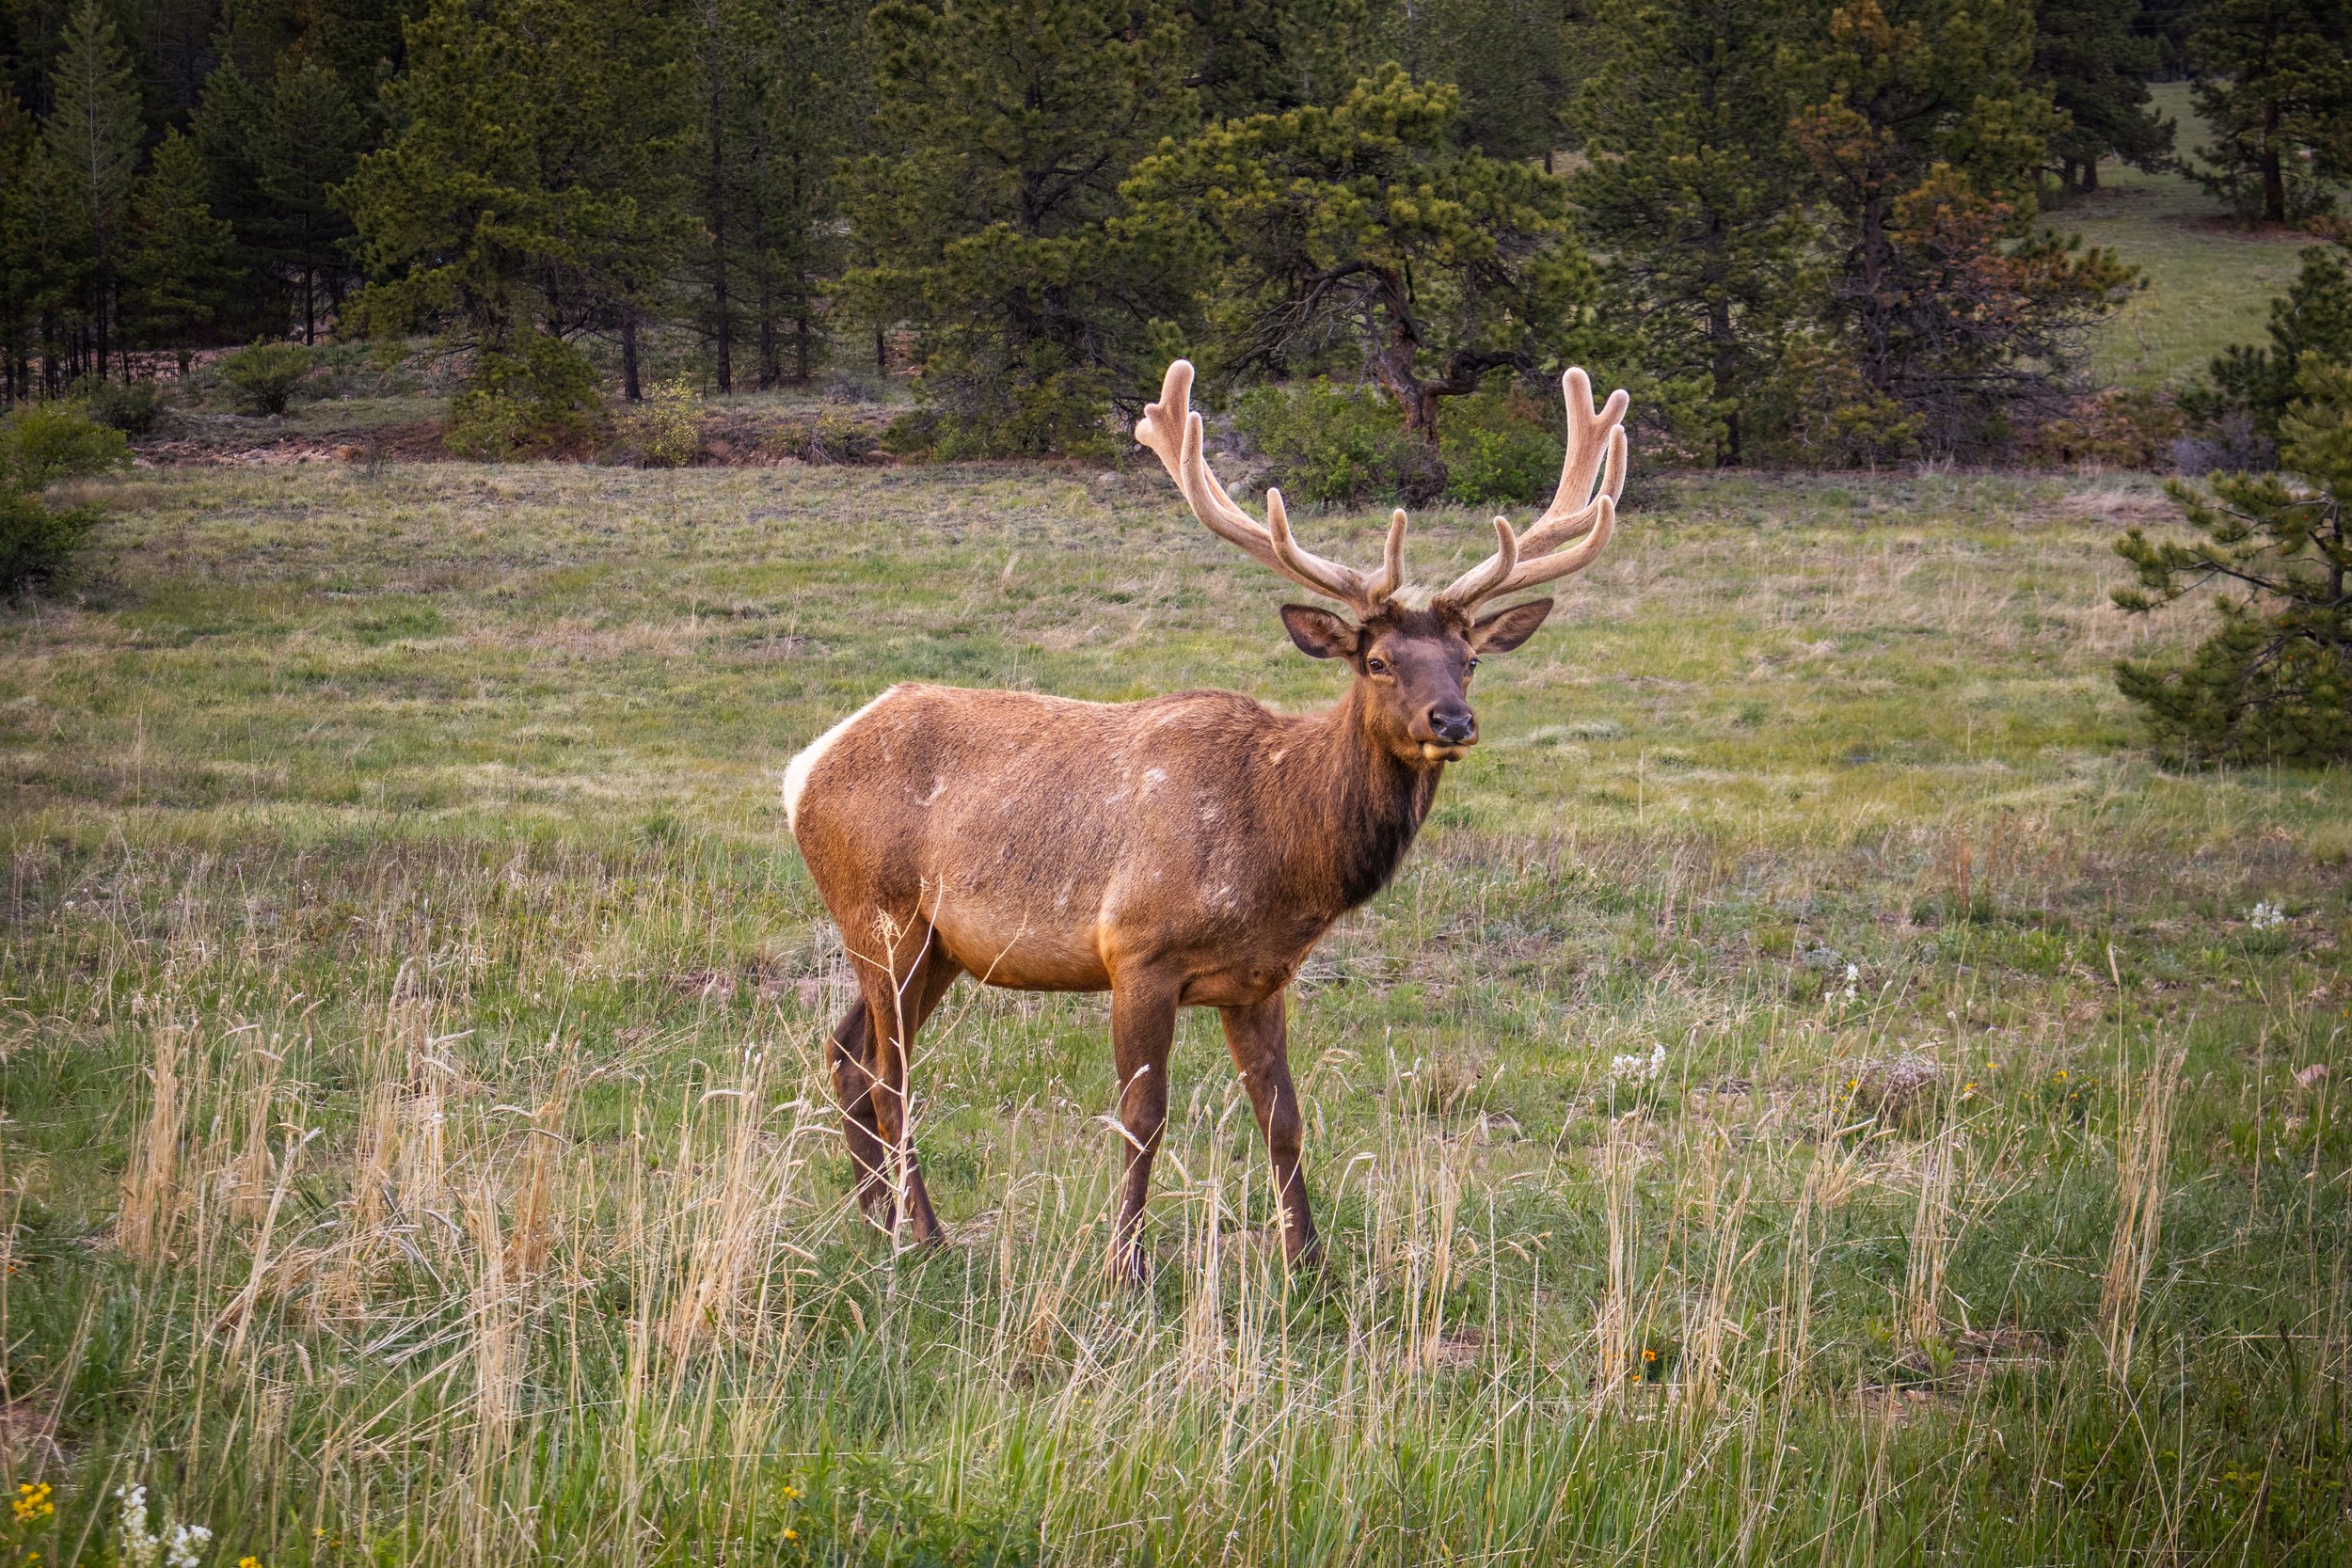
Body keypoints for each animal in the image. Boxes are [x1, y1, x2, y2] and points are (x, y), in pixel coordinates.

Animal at [784, 357, 1629, 1279]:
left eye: (1469, 659)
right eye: (1376, 661)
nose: (1453, 720)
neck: (1282, 851)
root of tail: (804, 766)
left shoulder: (1260, 977)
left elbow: (1283, 1116)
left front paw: (1310, 1263)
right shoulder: (1136, 949)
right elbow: (1142, 1116)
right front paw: (1125, 1266)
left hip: (934, 943)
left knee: (846, 1053)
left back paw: (878, 1225)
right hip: (881, 914)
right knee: (888, 1073)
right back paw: (927, 1234)